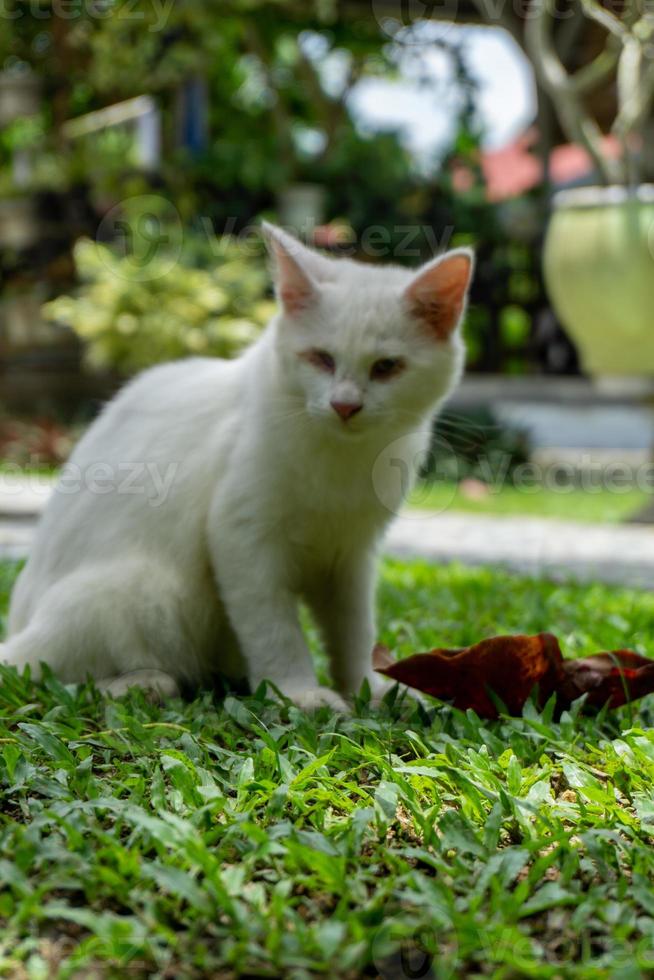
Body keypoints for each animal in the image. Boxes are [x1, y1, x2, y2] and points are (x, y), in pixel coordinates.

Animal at [0, 225, 472, 708]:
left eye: (387, 367)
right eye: (321, 358)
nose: (345, 406)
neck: (342, 457)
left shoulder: (350, 556)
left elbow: (354, 632)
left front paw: (369, 691)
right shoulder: (242, 538)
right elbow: (275, 631)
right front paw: (298, 693)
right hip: (144, 591)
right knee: (45, 673)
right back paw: (144, 684)